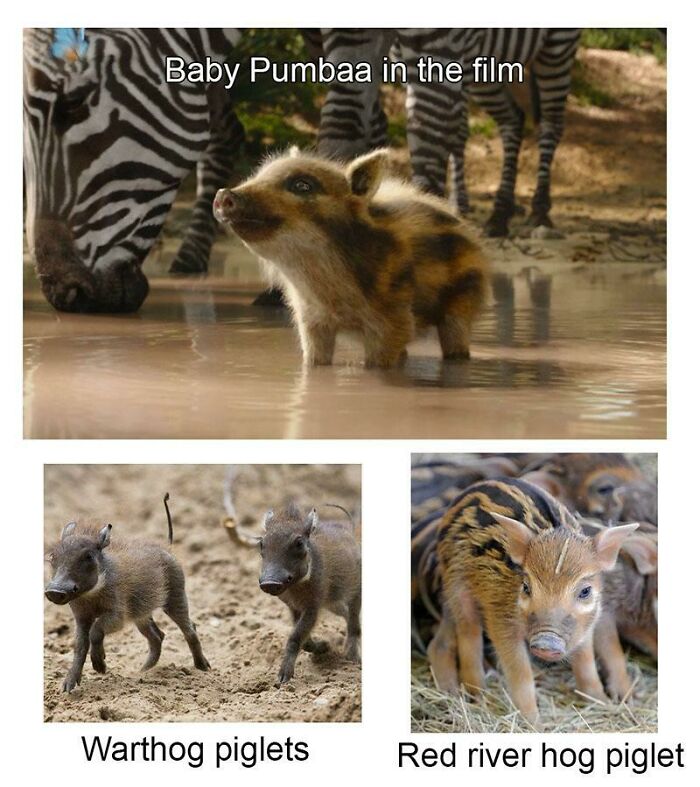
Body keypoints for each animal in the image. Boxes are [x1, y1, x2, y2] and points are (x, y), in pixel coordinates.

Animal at [45, 494, 210, 692]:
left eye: (88, 556)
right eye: (52, 555)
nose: (55, 591)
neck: (91, 595)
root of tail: (167, 547)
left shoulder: (118, 616)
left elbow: (95, 631)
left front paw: (100, 667)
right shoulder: (81, 617)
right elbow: (79, 646)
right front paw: (68, 686)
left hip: (176, 597)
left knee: (190, 629)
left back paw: (203, 668)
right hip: (141, 614)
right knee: (157, 636)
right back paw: (144, 672)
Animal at [213, 148, 488, 367]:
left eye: (302, 185)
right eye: (260, 174)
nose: (224, 194)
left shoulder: (392, 321)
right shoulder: (311, 321)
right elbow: (314, 361)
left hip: (462, 305)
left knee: (456, 342)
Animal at [224, 502, 361, 685]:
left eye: (299, 543)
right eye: (261, 543)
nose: (270, 583)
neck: (296, 587)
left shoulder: (313, 607)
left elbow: (296, 636)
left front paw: (283, 678)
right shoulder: (294, 607)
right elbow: (304, 640)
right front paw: (325, 647)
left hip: (355, 593)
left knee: (354, 622)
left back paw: (352, 658)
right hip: (334, 603)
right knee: (346, 615)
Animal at [432, 478, 638, 726]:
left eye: (585, 591)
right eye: (526, 587)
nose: (546, 641)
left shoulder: (588, 623)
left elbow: (586, 662)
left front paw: (603, 702)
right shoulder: (500, 618)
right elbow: (520, 673)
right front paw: (534, 724)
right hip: (456, 583)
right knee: (468, 633)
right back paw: (476, 695)